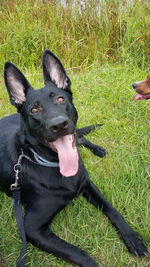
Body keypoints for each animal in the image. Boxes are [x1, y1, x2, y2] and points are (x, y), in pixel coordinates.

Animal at [0, 49, 148, 266]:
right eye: (34, 110)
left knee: (81, 137)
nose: (59, 125)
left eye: (60, 99)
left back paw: (98, 149)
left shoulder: (87, 184)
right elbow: (80, 254)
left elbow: (113, 210)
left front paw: (133, 238)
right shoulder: (32, 228)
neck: (55, 166)